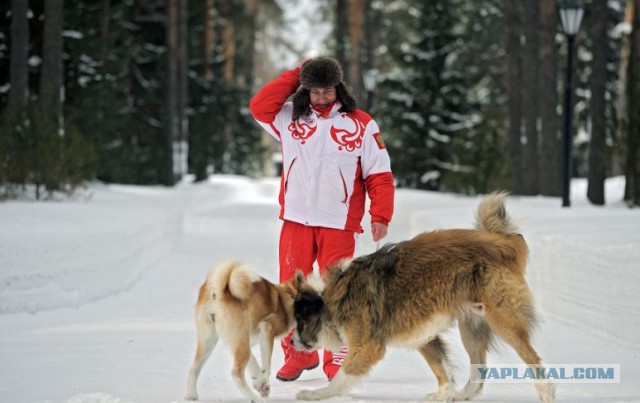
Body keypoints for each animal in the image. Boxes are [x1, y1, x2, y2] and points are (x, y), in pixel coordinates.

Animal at [185, 260, 300, 402]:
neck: (289, 296)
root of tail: (219, 290)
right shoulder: (267, 328)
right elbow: (266, 365)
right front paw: (262, 382)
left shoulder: (244, 341)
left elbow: (254, 363)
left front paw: (260, 383)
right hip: (239, 339)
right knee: (236, 373)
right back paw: (254, 398)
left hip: (211, 341)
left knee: (194, 368)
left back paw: (191, 396)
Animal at [292, 194, 556, 402]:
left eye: (299, 323)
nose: (293, 342)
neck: (330, 299)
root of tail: (504, 242)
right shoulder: (424, 336)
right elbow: (442, 368)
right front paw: (443, 394)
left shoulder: (368, 346)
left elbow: (342, 375)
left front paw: (316, 394)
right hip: (471, 326)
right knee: (478, 370)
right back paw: (461, 395)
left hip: (501, 318)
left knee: (532, 357)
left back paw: (546, 393)